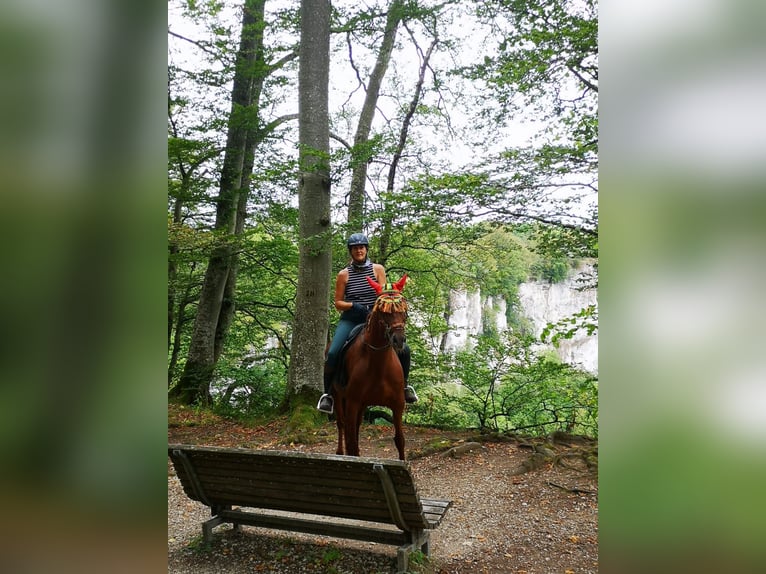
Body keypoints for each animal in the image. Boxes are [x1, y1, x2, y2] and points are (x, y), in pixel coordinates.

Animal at [332, 276, 412, 462]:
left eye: (404, 310)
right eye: (384, 312)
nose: (399, 340)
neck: (378, 363)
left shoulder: (397, 404)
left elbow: (400, 440)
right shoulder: (352, 402)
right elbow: (351, 442)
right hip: (338, 396)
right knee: (341, 424)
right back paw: (339, 452)